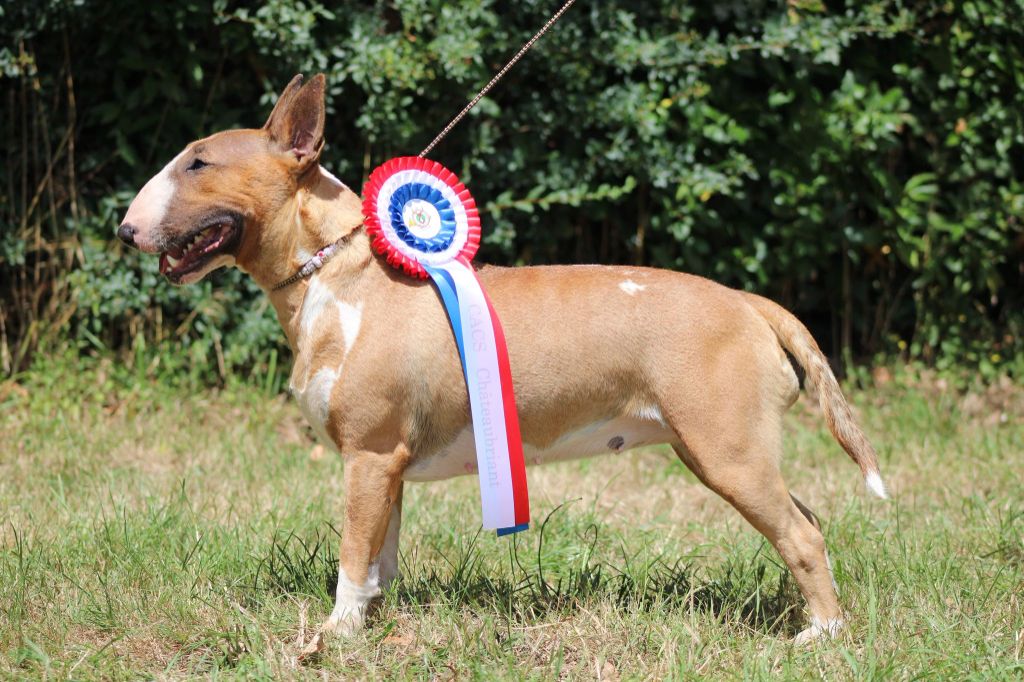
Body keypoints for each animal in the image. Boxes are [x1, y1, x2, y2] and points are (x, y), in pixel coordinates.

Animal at [117, 74, 888, 647]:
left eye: (199, 163)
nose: (124, 230)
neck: (334, 272)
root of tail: (750, 302)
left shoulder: (367, 454)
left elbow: (351, 555)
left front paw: (333, 636)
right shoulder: (386, 463)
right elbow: (380, 554)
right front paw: (372, 624)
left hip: (727, 449)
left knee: (800, 533)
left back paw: (819, 635)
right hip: (727, 451)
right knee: (808, 519)